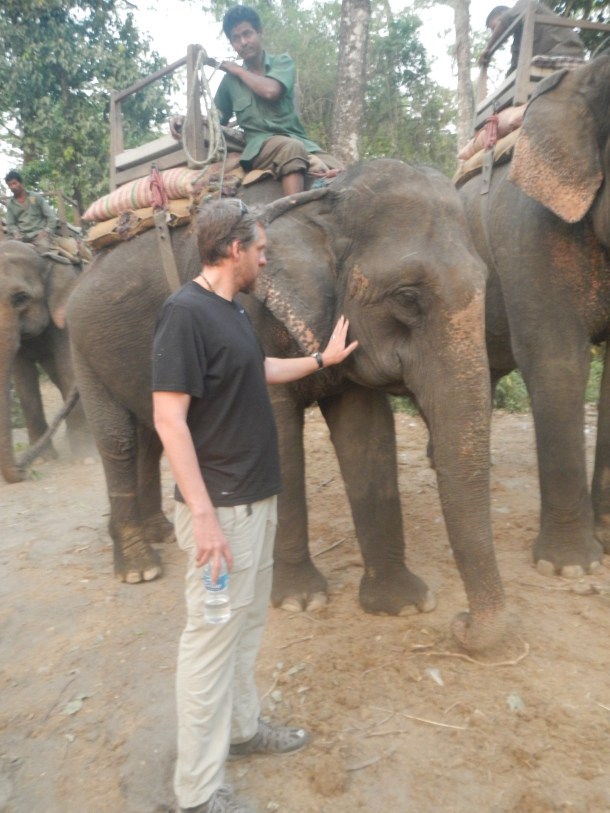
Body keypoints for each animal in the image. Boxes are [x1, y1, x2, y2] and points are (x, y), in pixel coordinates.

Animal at [0, 240, 91, 483]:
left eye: (20, 298)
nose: (22, 468)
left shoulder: (64, 311)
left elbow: (67, 365)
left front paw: (84, 458)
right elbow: (23, 380)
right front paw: (43, 460)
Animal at [66, 158, 511, 652]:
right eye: (408, 298)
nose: (462, 624)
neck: (323, 200)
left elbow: (368, 435)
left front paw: (403, 604)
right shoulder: (256, 315)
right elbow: (278, 438)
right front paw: (301, 600)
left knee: (153, 435)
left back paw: (158, 533)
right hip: (81, 345)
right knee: (119, 440)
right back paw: (139, 568)